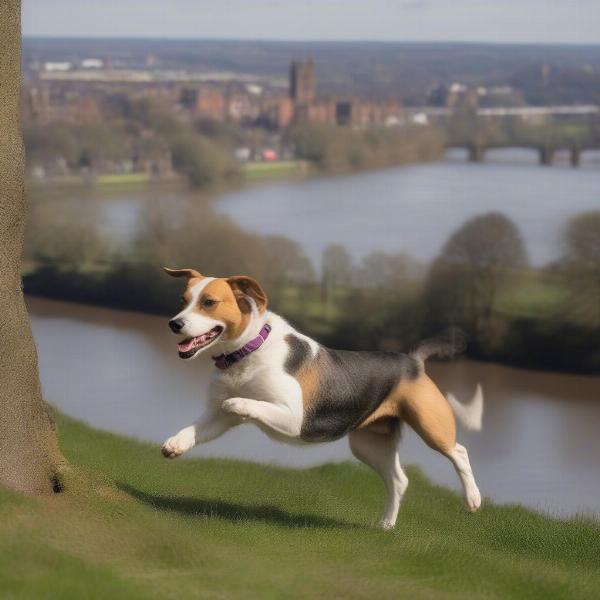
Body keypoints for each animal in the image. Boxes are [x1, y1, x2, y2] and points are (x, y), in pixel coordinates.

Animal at [159, 268, 482, 528]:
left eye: (209, 303)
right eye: (182, 301)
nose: (174, 323)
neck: (248, 349)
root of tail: (413, 361)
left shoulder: (293, 418)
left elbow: (242, 403)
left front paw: (238, 402)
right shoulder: (217, 417)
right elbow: (194, 429)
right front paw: (176, 444)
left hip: (431, 425)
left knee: (460, 452)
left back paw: (473, 499)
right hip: (368, 444)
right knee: (398, 480)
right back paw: (386, 526)